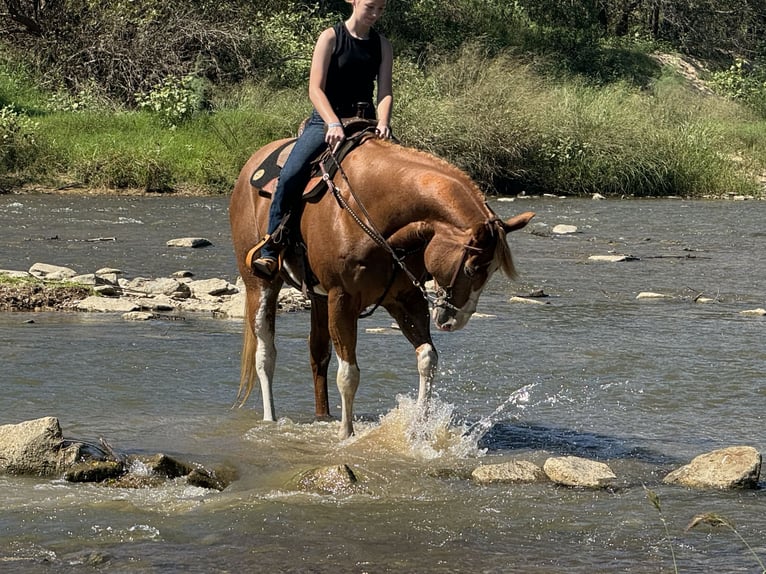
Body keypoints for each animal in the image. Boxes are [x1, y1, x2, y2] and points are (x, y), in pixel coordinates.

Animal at [231, 135, 536, 440]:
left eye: (493, 271)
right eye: (472, 268)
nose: (455, 321)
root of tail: (250, 166)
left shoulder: (404, 298)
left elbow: (428, 358)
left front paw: (419, 428)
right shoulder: (342, 299)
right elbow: (349, 375)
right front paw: (346, 435)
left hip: (318, 299)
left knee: (318, 354)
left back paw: (323, 417)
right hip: (260, 284)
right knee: (265, 355)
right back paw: (270, 420)